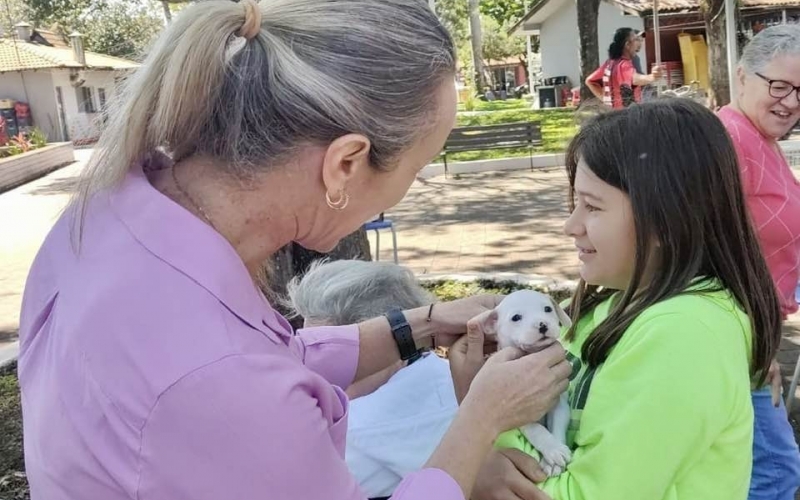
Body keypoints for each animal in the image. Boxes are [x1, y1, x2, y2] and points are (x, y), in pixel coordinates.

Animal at [478, 290, 572, 476]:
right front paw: (553, 449)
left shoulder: (560, 404)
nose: (542, 325)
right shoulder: (518, 414)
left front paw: (554, 457)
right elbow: (538, 430)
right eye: (516, 318)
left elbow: (557, 424)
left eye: (547, 309)